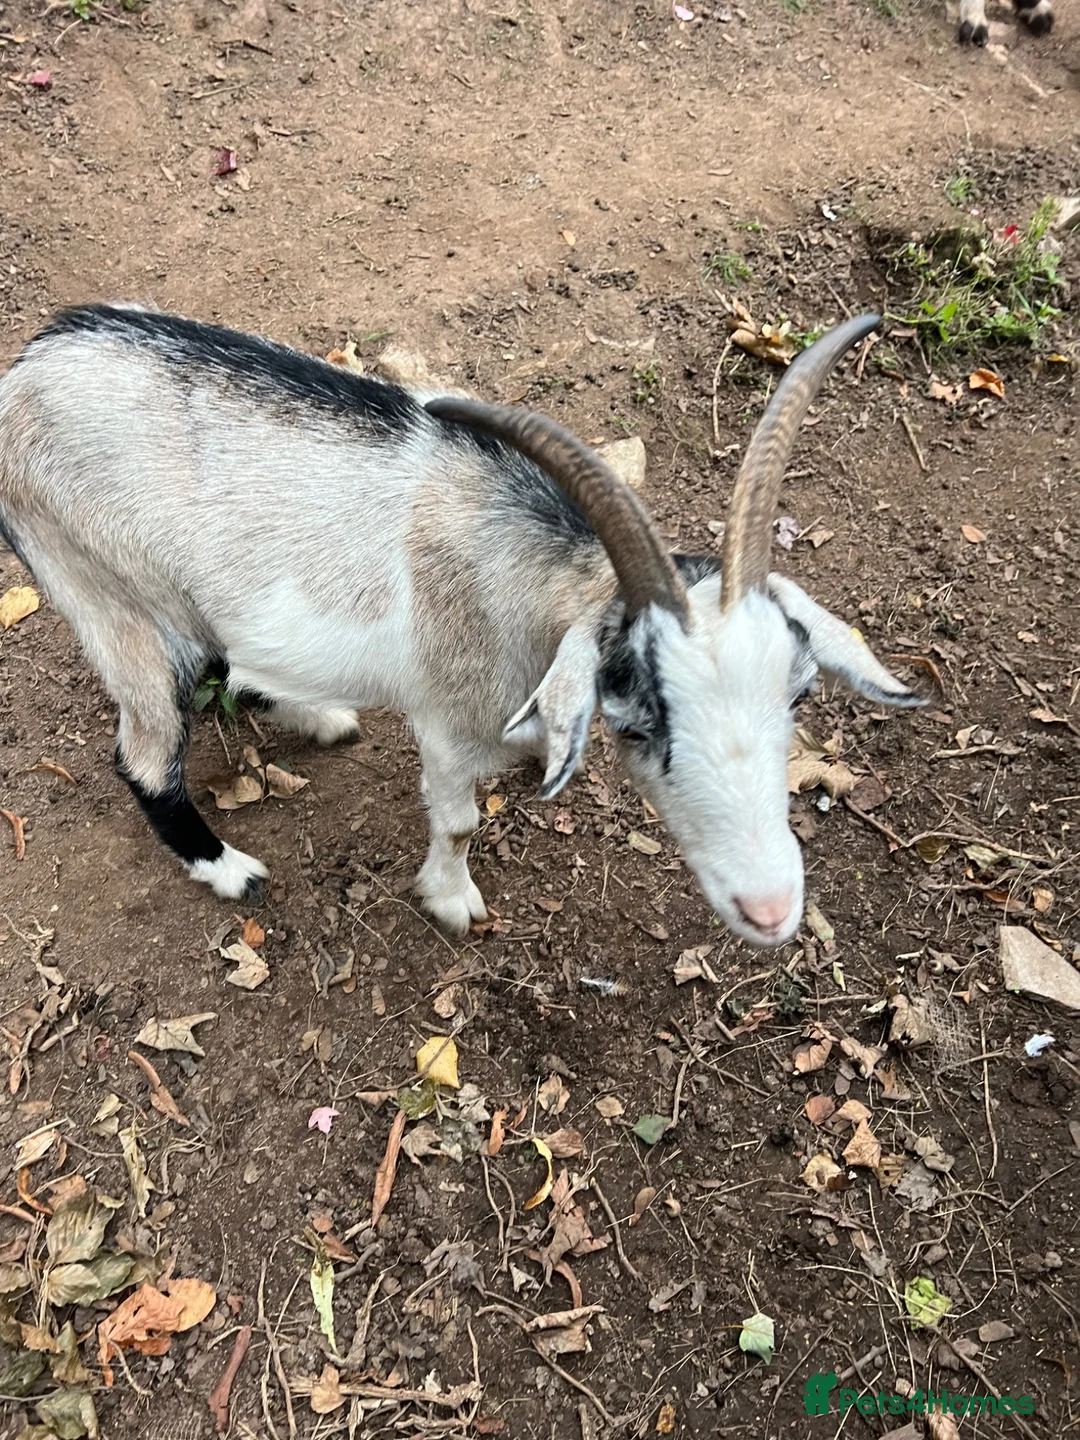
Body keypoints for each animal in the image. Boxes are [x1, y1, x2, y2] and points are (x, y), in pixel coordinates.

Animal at [0, 304, 920, 948]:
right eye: (638, 716)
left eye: (798, 695)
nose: (771, 910)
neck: (523, 581)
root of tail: (26, 369)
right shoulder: (445, 724)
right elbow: (458, 821)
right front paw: (451, 901)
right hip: (116, 601)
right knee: (145, 755)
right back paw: (229, 870)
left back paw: (315, 714)